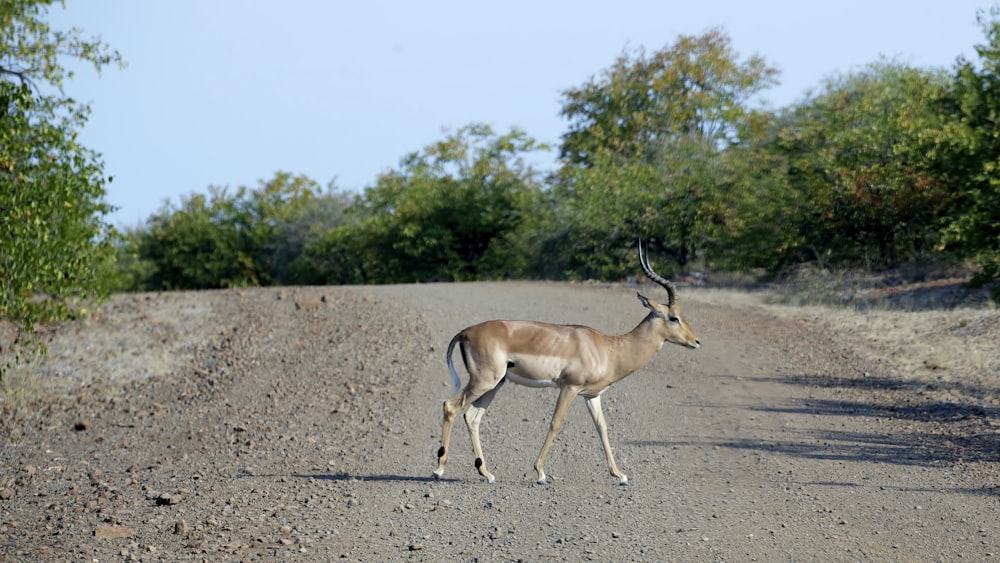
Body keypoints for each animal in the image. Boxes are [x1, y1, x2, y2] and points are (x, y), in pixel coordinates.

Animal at [434, 239, 700, 484]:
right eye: (673, 317)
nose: (696, 341)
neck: (607, 348)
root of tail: (465, 332)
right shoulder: (569, 387)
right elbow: (555, 423)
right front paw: (540, 473)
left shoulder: (592, 395)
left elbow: (602, 427)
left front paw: (619, 474)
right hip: (484, 381)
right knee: (450, 406)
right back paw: (439, 469)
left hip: (495, 384)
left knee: (472, 417)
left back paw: (486, 473)